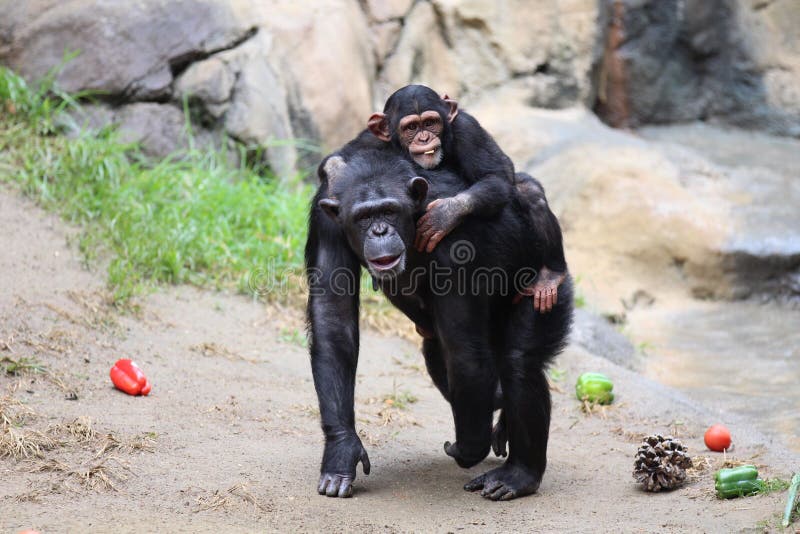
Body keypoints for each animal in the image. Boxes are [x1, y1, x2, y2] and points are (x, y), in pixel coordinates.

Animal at [308, 149, 576, 500]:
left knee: (518, 362)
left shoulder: (454, 242)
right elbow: (333, 318)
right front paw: (342, 450)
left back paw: (519, 475)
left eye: (390, 211)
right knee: (439, 356)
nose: (379, 231)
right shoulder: (325, 221)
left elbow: (463, 349)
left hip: (548, 290)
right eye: (363, 217)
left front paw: (468, 448)